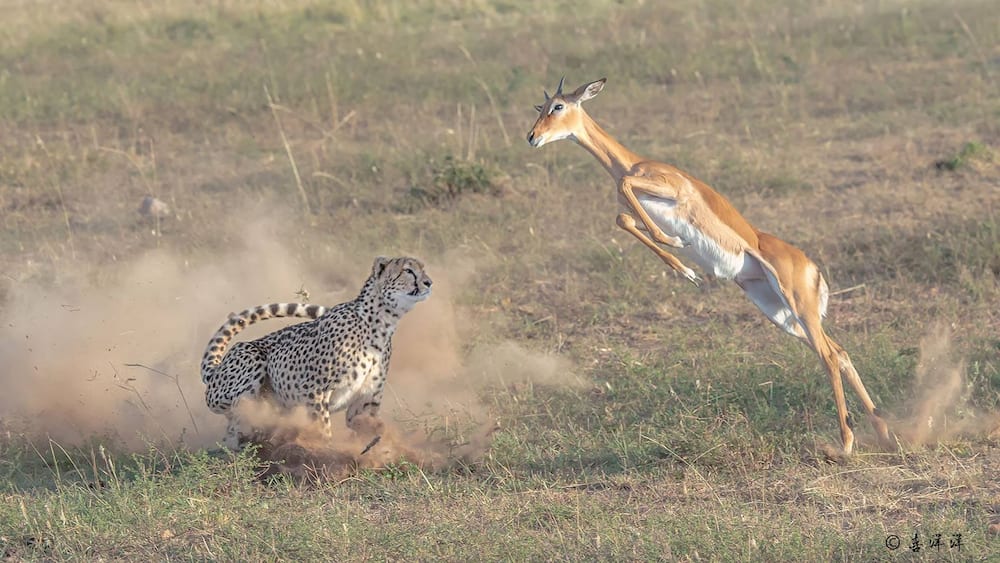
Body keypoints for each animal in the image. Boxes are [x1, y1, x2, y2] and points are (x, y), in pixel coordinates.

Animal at [199, 256, 430, 450]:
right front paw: (325, 454)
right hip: (249, 358)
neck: (381, 322)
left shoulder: (366, 398)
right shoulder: (314, 389)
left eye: (423, 269)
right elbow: (323, 427)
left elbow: (364, 425)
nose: (429, 283)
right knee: (239, 416)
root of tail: (216, 369)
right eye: (408, 270)